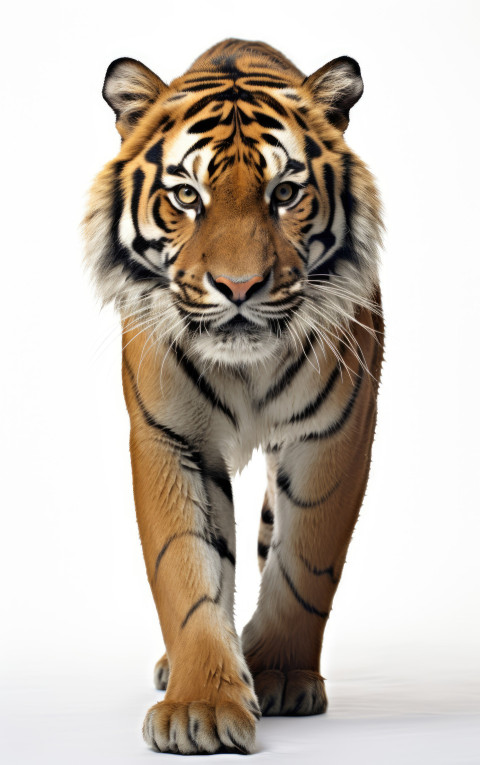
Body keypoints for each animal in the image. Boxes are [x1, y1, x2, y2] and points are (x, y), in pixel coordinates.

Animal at [81, 38, 382, 756]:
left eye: (286, 192)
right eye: (187, 196)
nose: (239, 287)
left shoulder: (334, 433)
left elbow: (304, 564)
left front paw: (280, 674)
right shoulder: (170, 436)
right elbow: (187, 572)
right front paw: (201, 706)